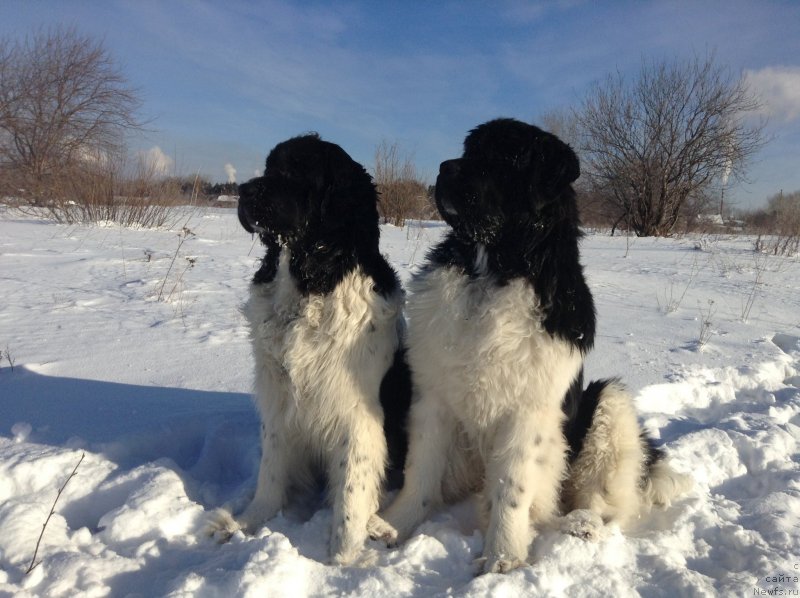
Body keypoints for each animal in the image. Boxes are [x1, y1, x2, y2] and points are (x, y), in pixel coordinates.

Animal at [211, 135, 410, 568]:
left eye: (297, 172)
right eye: (269, 167)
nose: (243, 191)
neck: (307, 283)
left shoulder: (359, 416)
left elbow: (352, 492)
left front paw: (341, 560)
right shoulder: (279, 401)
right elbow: (270, 473)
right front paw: (245, 523)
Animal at [376, 118, 688, 576]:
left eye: (507, 158)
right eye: (468, 150)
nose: (445, 168)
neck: (493, 271)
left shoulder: (527, 410)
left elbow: (512, 487)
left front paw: (501, 558)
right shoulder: (432, 395)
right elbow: (421, 470)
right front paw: (393, 525)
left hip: (607, 403)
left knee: (600, 498)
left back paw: (581, 525)